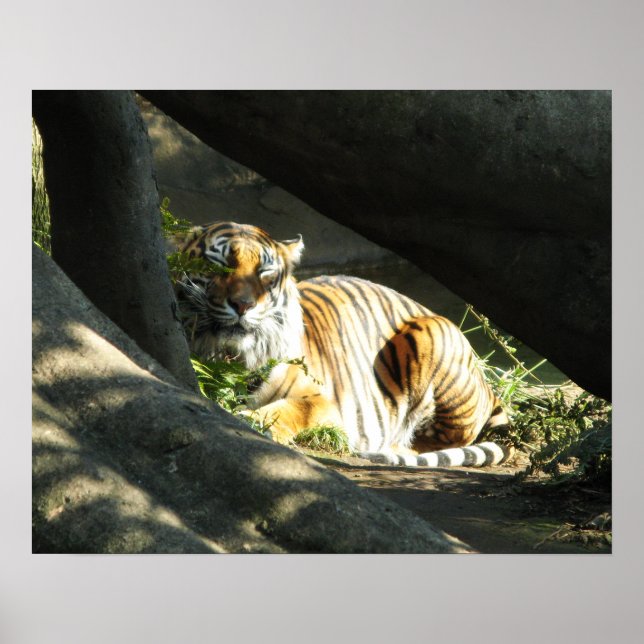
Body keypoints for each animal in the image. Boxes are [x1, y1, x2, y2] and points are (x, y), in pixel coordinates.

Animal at [174, 221, 513, 467]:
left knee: (443, 439)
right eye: (219, 266)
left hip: (433, 337)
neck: (232, 357)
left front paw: (252, 421)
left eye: (264, 272)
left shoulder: (326, 401)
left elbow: (292, 409)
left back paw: (392, 449)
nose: (243, 305)